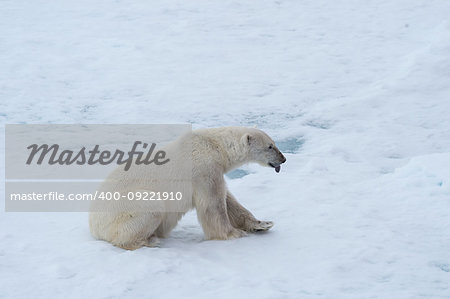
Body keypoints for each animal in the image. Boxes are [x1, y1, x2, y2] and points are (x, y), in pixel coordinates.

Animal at [89, 127, 286, 251]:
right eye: (270, 146)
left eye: (274, 143)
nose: (283, 159)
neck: (214, 145)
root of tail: (93, 227)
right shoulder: (203, 170)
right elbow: (213, 205)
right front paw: (234, 234)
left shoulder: (214, 171)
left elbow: (229, 201)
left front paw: (262, 224)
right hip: (123, 209)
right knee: (150, 207)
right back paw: (149, 240)